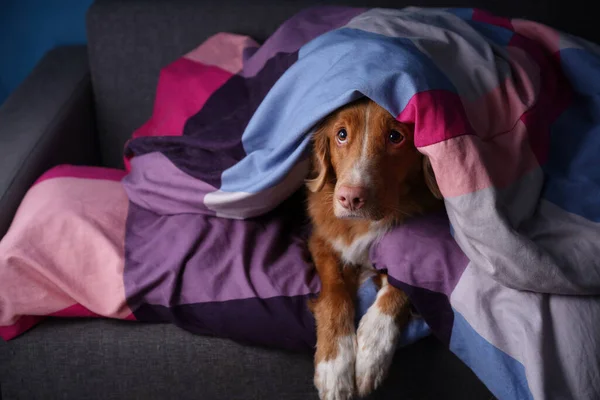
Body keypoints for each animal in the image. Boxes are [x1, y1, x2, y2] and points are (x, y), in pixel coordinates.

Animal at [308, 97, 442, 400]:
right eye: (341, 134)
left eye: (395, 136)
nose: (350, 198)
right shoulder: (321, 241)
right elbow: (334, 294)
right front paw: (335, 365)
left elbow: (402, 284)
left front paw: (373, 348)